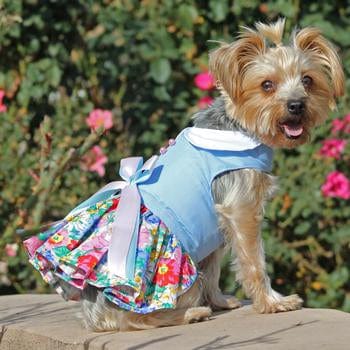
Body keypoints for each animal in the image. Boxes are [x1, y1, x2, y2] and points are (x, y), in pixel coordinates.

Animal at [78, 18, 344, 330]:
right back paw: (190, 313)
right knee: (134, 317)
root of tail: (94, 316)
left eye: (308, 80)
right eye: (267, 85)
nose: (296, 105)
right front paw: (272, 302)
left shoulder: (212, 222)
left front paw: (220, 300)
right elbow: (254, 261)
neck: (242, 128)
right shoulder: (240, 209)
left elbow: (214, 265)